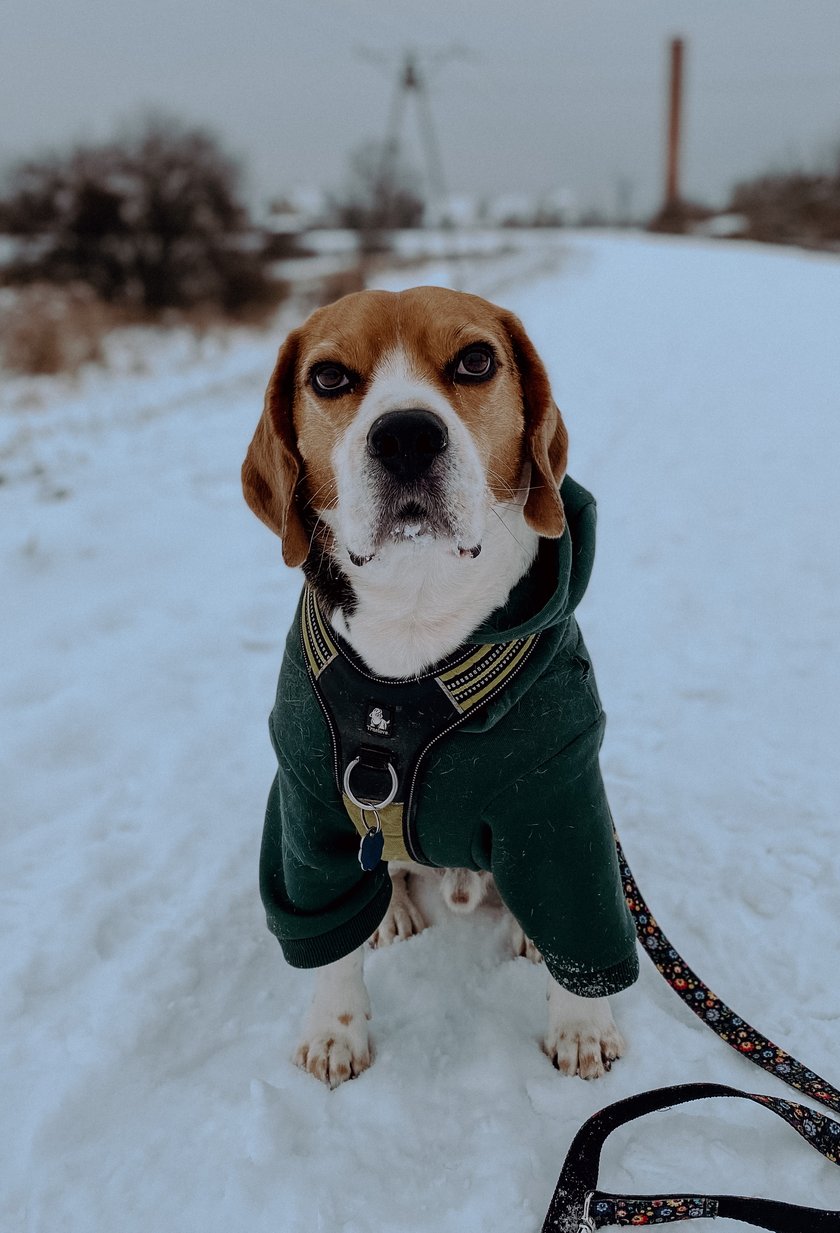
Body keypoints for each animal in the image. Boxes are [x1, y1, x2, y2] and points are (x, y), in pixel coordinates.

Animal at [239, 286, 626, 1089]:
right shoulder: (307, 802)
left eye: (476, 360)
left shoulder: (560, 797)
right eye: (328, 378)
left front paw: (581, 1025)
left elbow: (581, 923)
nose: (407, 436)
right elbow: (327, 941)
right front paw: (334, 1030)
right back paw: (388, 911)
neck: (418, 607)